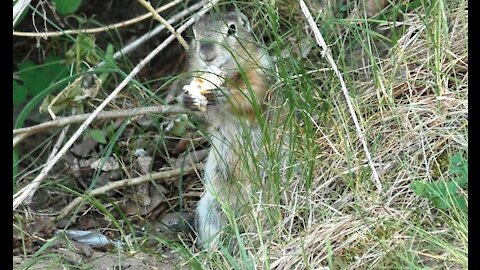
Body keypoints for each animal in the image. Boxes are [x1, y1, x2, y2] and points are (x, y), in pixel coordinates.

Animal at [181, 10, 282, 250]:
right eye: (194, 34)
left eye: (232, 29)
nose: (207, 54)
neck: (229, 77)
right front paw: (188, 99)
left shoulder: (260, 74)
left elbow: (250, 100)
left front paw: (224, 95)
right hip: (211, 208)